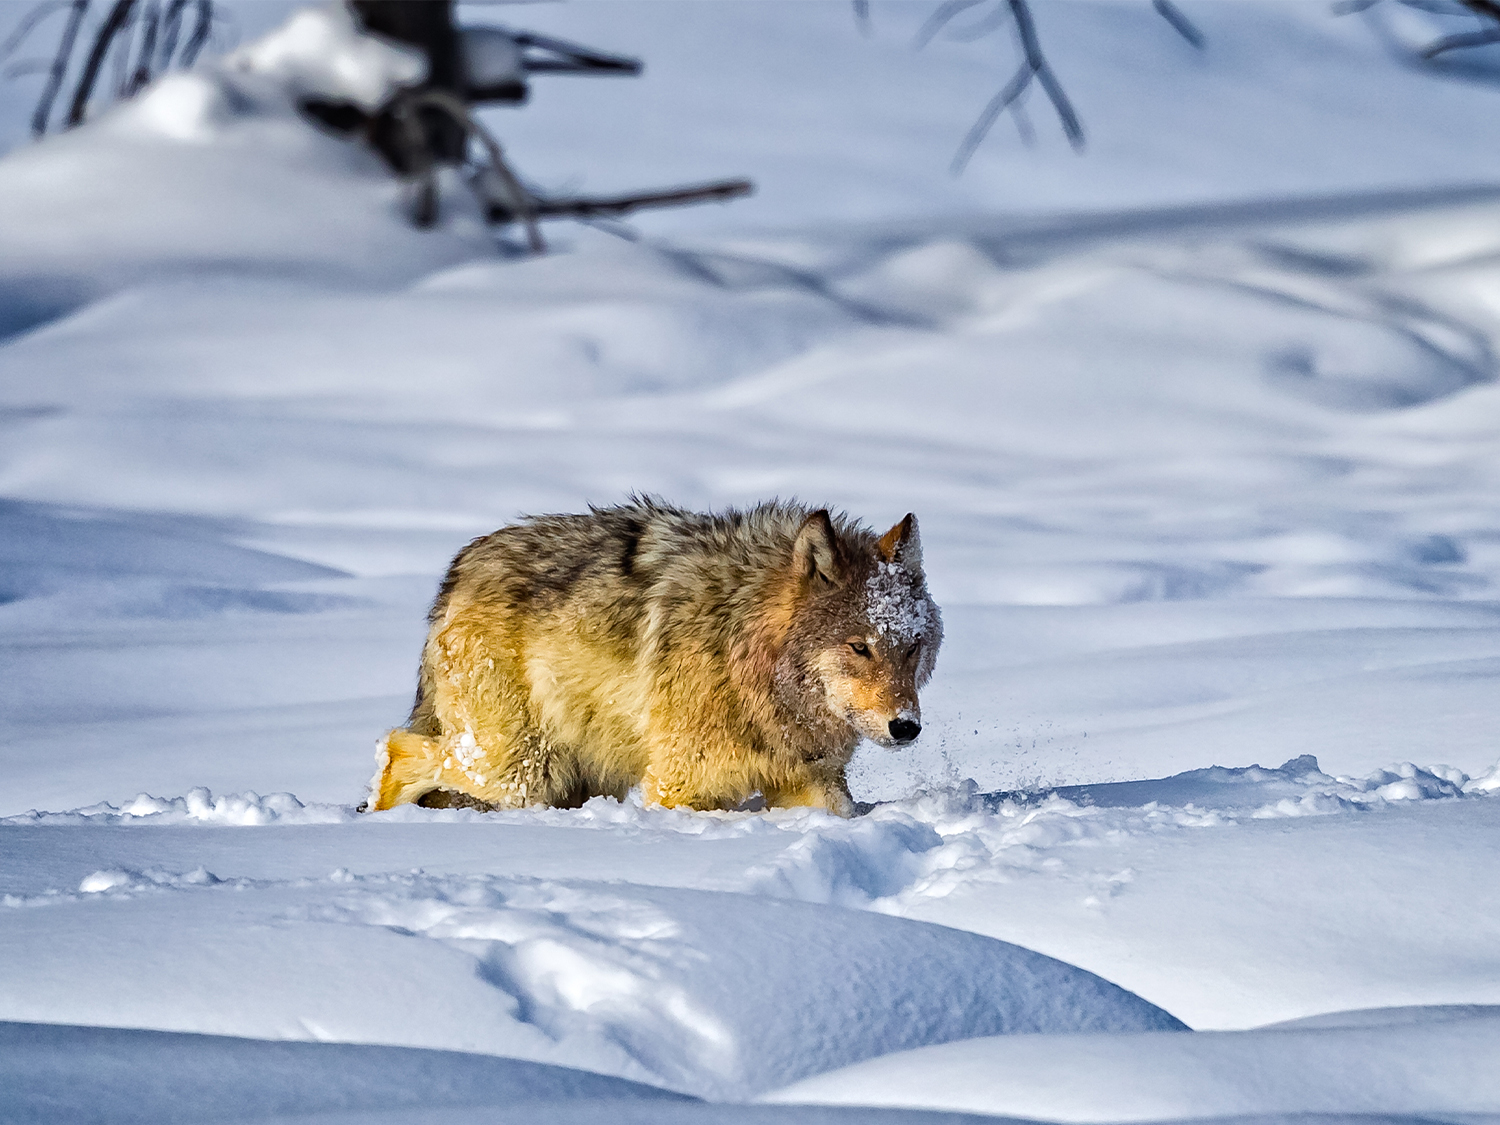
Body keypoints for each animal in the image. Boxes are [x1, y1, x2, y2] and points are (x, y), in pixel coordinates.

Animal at [364, 501, 942, 822]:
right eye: (860, 647)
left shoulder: (811, 782)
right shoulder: (681, 789)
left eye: (911, 646)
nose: (906, 727)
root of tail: (460, 567)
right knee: (396, 749)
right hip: (518, 771)